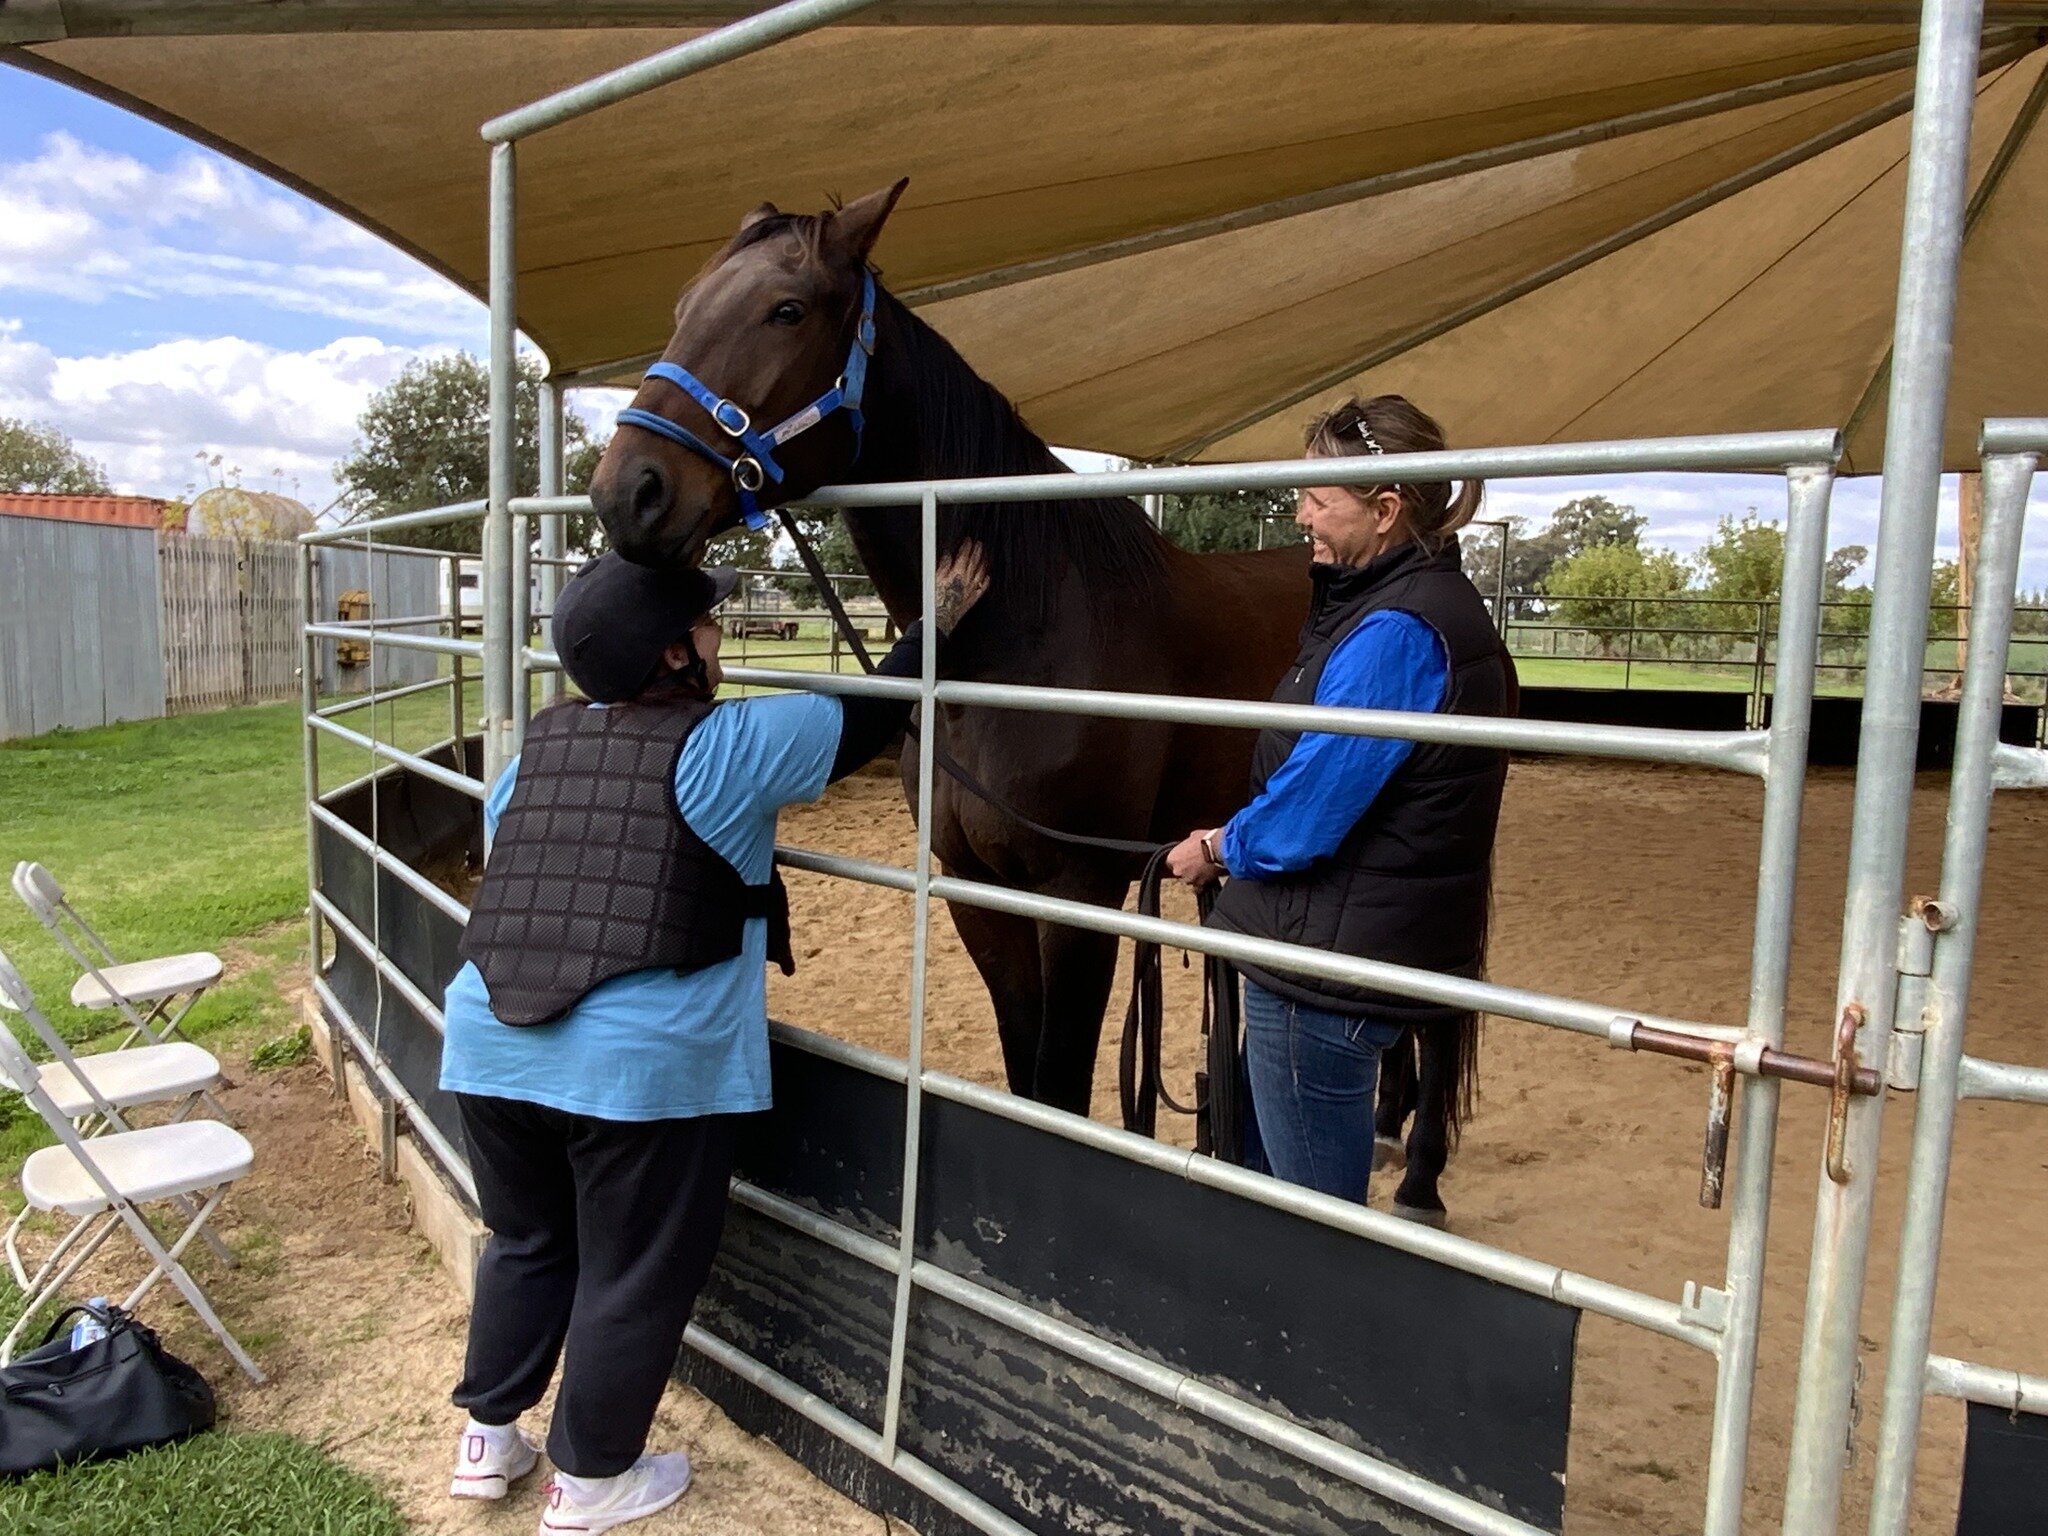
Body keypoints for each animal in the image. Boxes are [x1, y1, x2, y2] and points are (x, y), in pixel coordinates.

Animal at [589, 183, 1474, 1228]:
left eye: (787, 311)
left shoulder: (1079, 892)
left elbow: (1060, 1086)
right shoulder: (982, 890)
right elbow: (1022, 1075)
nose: (628, 493)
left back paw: (1419, 1182)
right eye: (684, 306)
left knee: (1445, 998)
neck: (1021, 634)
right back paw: (1384, 1127)